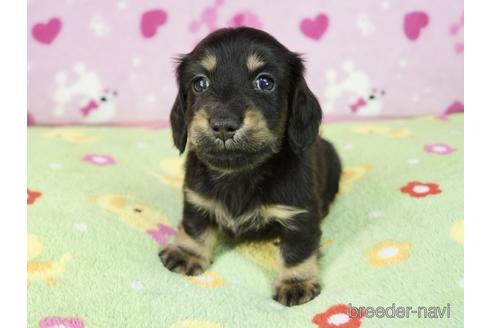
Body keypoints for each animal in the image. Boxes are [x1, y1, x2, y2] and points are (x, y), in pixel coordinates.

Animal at [161, 26, 342, 306]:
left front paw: (296, 282)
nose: (223, 125)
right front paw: (186, 253)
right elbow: (194, 227)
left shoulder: (299, 215)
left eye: (264, 82)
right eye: (200, 83)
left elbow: (297, 249)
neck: (239, 173)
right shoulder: (196, 199)